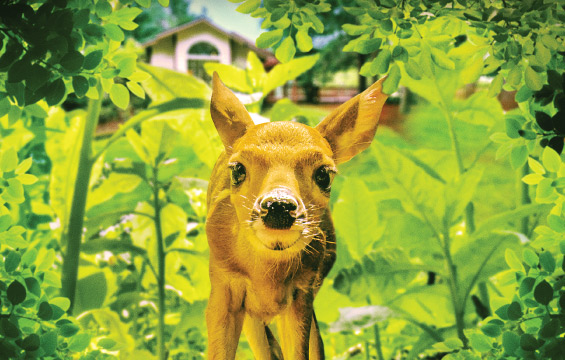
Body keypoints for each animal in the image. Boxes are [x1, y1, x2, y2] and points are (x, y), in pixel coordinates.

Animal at [206, 71, 388, 358]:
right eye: (238, 169)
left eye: (324, 174)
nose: (278, 206)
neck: (267, 278)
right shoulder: (223, 286)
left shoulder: (303, 290)